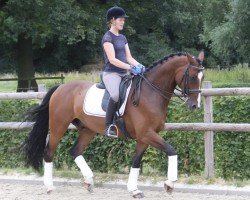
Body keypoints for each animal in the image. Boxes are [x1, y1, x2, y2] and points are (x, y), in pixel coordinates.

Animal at [23, 51, 204, 198]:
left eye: (202, 78)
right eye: (192, 77)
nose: (195, 106)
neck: (150, 93)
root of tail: (61, 87)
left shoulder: (144, 137)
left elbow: (136, 161)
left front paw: (134, 190)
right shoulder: (147, 134)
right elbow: (171, 150)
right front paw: (169, 184)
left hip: (87, 130)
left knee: (75, 151)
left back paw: (89, 182)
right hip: (58, 126)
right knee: (49, 152)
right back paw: (49, 187)